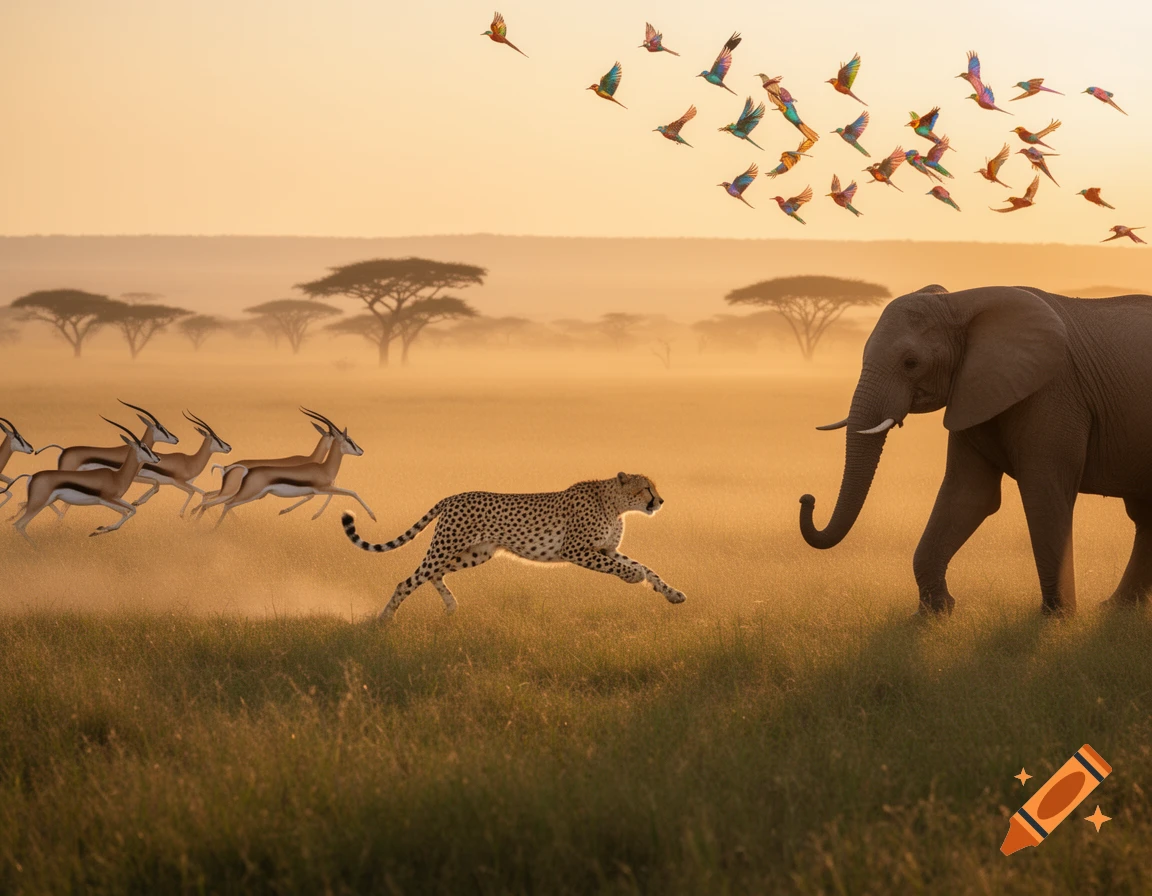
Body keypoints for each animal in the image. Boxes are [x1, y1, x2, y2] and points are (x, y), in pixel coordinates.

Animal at [340, 472, 686, 621]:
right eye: (646, 488)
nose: (660, 501)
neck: (615, 504)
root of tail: (454, 496)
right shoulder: (578, 551)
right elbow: (624, 568)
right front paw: (634, 578)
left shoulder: (605, 550)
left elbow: (646, 567)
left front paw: (671, 593)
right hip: (446, 547)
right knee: (408, 580)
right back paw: (384, 619)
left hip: (475, 553)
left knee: (434, 574)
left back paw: (450, 605)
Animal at [799, 284, 1152, 616]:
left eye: (911, 363)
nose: (807, 498)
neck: (959, 303)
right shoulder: (971, 390)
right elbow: (968, 495)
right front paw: (934, 613)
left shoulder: (1054, 394)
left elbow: (1042, 494)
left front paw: (1056, 619)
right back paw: (1117, 608)